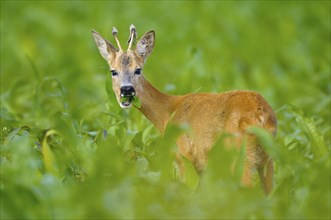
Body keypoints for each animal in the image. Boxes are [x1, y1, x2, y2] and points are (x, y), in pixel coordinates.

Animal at [92, 24, 278, 195]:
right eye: (113, 71)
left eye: (138, 70)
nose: (127, 90)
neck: (168, 112)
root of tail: (261, 116)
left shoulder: (183, 157)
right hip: (266, 158)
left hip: (240, 155)